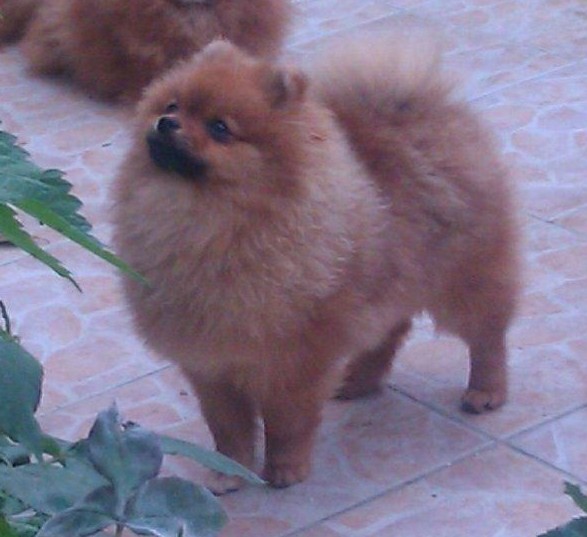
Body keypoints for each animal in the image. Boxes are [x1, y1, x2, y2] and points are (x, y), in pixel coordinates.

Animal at [110, 28, 520, 490]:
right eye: (172, 106)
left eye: (219, 128)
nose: (166, 123)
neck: (207, 222)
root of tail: (428, 107)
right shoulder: (211, 366)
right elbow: (228, 428)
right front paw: (228, 474)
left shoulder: (293, 361)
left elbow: (287, 421)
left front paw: (285, 470)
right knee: (390, 330)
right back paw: (358, 380)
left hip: (464, 278)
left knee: (487, 335)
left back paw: (486, 391)